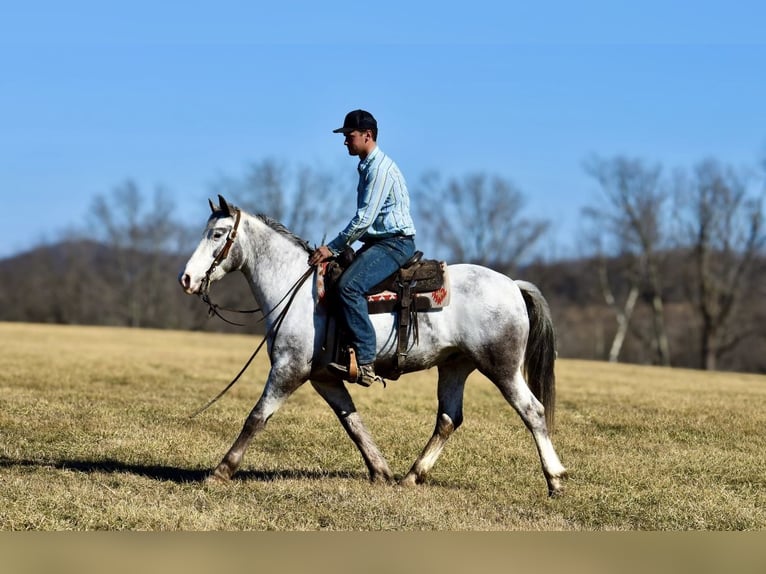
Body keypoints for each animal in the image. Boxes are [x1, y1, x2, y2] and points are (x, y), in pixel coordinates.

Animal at [177, 196, 568, 498]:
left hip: (501, 367)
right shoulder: (324, 377)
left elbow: (257, 417)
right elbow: (352, 422)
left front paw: (220, 471)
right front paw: (380, 471)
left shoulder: (289, 369)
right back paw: (411, 476)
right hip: (455, 365)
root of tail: (513, 285)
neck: (296, 290)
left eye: (217, 234)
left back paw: (555, 480)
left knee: (532, 410)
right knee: (448, 419)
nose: (187, 279)